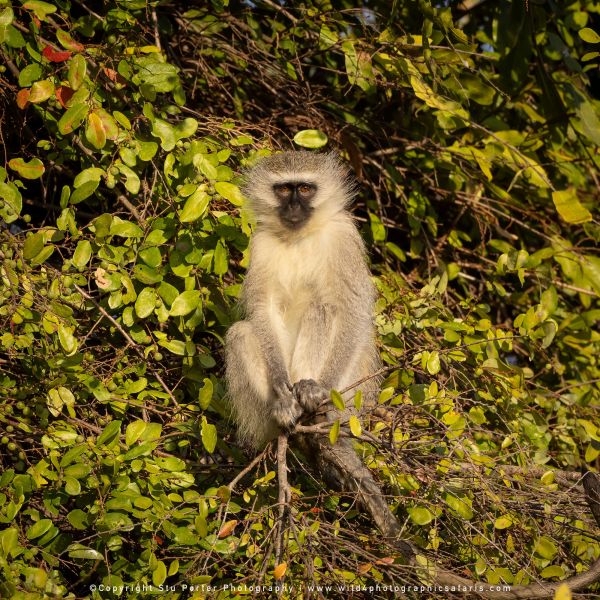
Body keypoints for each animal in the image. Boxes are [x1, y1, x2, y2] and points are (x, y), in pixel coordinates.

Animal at [225, 151, 380, 450]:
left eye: (306, 189)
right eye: (285, 189)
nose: (294, 206)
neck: (298, 238)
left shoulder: (343, 237)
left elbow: (353, 310)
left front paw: (322, 387)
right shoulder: (260, 243)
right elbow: (263, 308)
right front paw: (279, 385)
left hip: (349, 394)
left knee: (322, 308)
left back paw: (307, 389)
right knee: (240, 332)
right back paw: (284, 406)